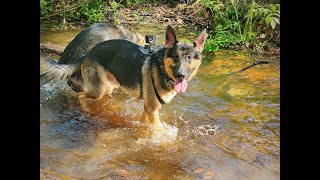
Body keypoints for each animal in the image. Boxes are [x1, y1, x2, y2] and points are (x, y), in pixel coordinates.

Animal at [41, 25, 206, 129]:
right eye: (176, 57)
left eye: (189, 57)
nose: (181, 75)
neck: (162, 69)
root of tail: (87, 53)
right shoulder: (152, 109)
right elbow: (158, 129)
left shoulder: (149, 107)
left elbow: (144, 122)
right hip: (98, 90)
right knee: (80, 95)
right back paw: (86, 110)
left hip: (109, 86)